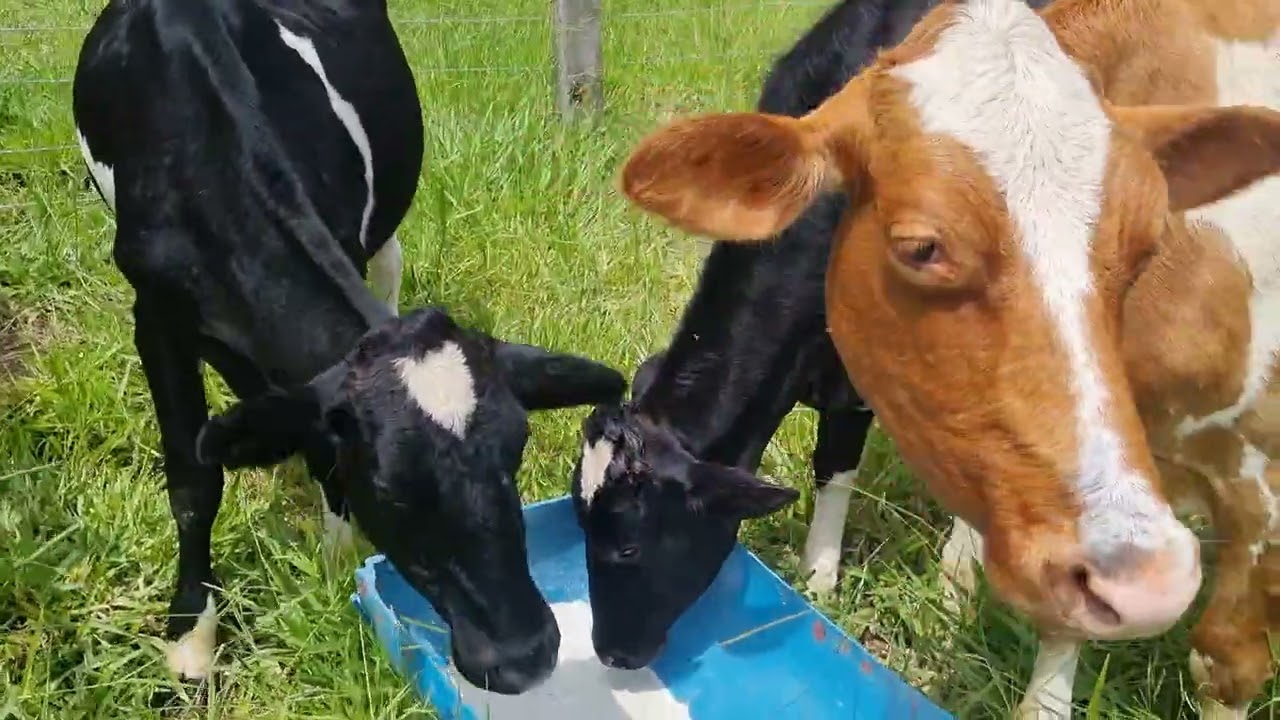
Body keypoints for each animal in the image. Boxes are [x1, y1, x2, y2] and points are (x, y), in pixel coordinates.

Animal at [71, 0, 625, 696]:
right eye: (390, 488)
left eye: (515, 453)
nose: (525, 656)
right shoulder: (154, 316)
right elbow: (195, 483)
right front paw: (190, 639)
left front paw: (337, 566)